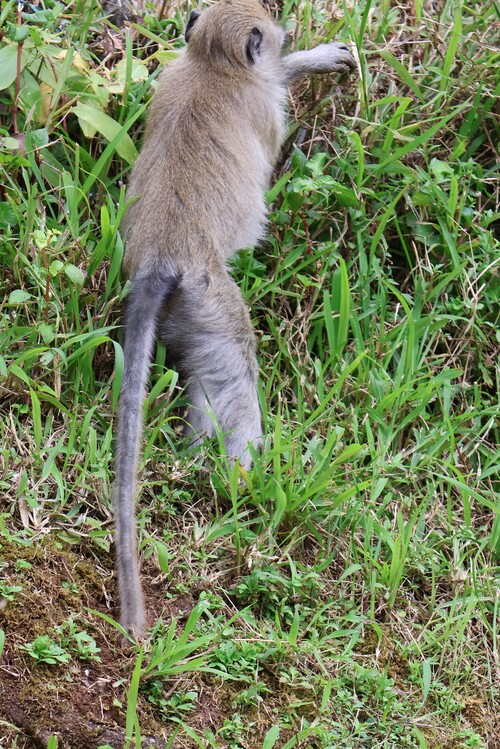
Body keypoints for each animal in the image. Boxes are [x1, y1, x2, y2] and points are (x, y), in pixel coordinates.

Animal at [113, 0, 356, 636]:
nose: (283, 36)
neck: (211, 65)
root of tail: (162, 261)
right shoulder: (259, 107)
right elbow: (274, 149)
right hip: (212, 303)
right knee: (231, 374)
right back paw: (242, 473)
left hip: (187, 313)